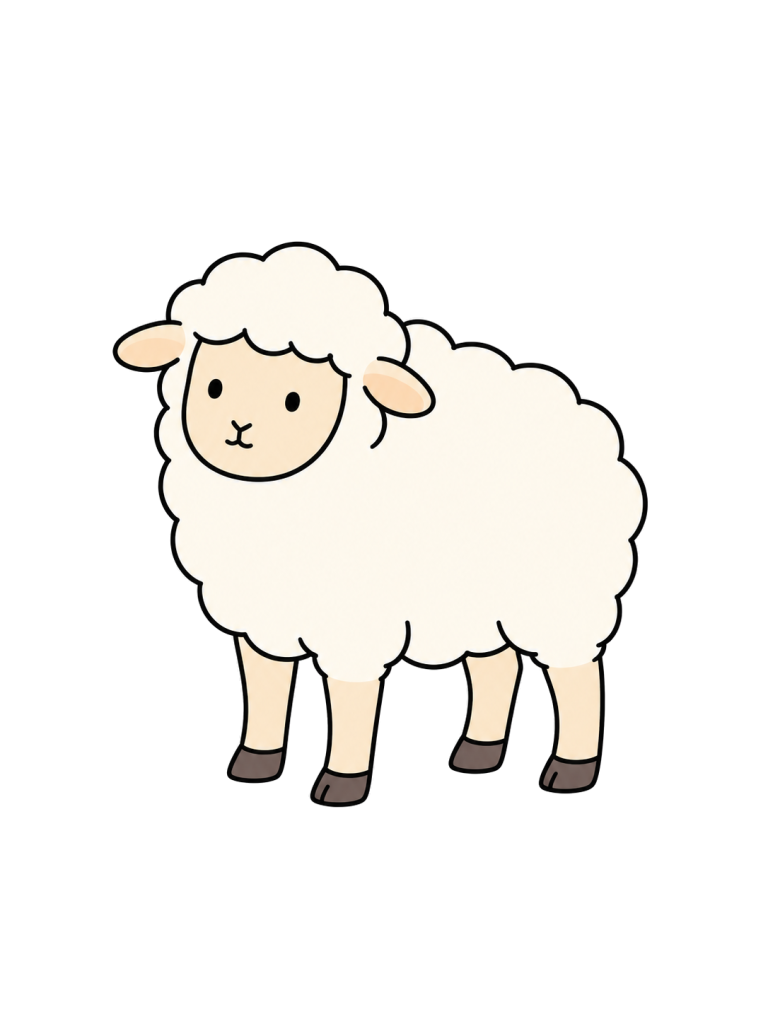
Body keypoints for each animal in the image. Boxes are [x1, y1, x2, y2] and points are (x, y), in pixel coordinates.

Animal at [114, 243, 646, 806]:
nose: (239, 429)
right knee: (497, 664)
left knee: (576, 674)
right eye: (213, 386)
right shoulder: (265, 613)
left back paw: (570, 769)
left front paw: (341, 782)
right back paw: (478, 752)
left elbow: (350, 698)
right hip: (479, 595)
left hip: (558, 593)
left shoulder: (355, 617)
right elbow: (265, 688)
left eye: (294, 401)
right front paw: (256, 762)